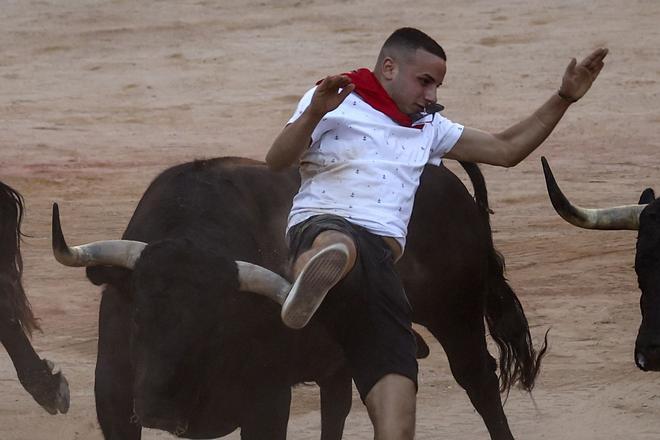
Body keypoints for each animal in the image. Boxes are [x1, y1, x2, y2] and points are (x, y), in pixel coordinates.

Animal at [54, 158, 544, 440]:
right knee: (337, 405)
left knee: (479, 382)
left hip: (456, 315)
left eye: (215, 325)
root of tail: (446, 180)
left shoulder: (267, 404)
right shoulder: (114, 400)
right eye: (139, 316)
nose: (159, 409)